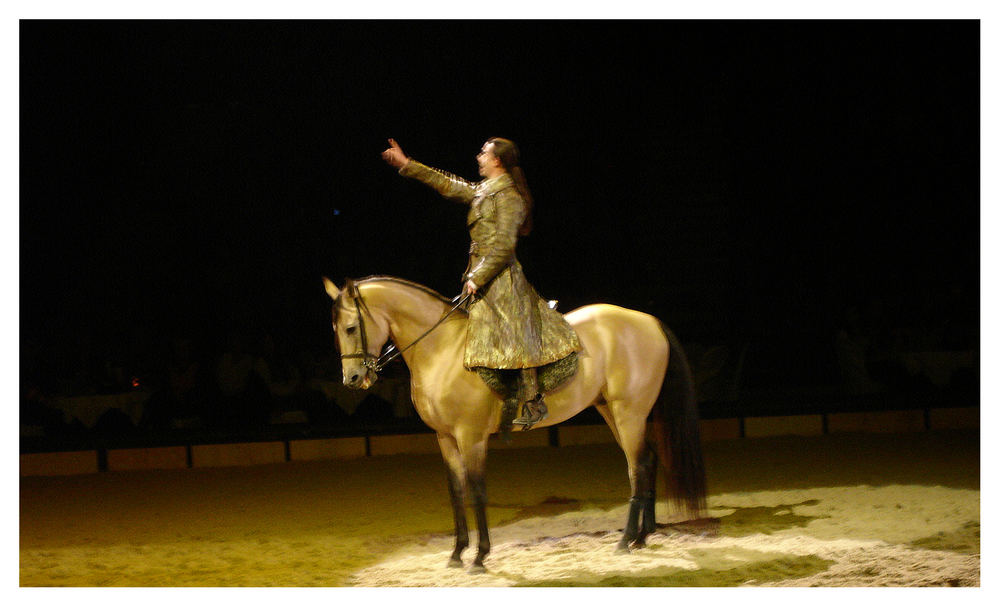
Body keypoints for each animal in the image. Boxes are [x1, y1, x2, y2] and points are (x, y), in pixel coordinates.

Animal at [324, 276, 708, 576]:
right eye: (336, 330)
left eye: (351, 328)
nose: (353, 379)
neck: (442, 351)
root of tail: (649, 320)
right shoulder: (445, 438)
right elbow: (456, 491)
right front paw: (456, 553)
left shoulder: (471, 437)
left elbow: (477, 490)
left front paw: (479, 556)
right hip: (615, 412)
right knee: (646, 460)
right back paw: (642, 536)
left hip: (629, 412)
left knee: (637, 466)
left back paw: (626, 540)